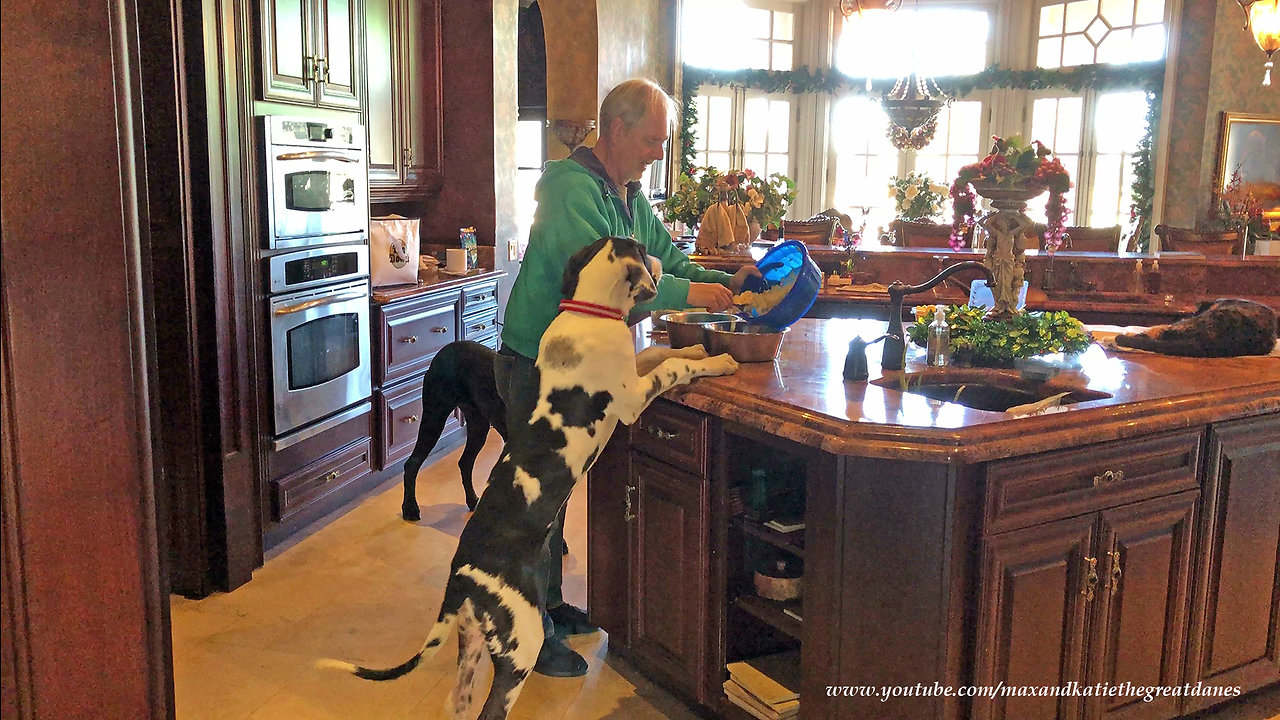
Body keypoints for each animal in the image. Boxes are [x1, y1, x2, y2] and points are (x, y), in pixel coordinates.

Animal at [317, 234, 742, 712]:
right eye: (642, 248)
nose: (664, 257)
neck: (589, 311)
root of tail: (462, 578)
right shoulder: (633, 399)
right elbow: (672, 367)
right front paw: (720, 360)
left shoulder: (632, 368)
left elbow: (659, 351)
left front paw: (696, 345)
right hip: (520, 639)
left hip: (472, 645)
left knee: (458, 702)